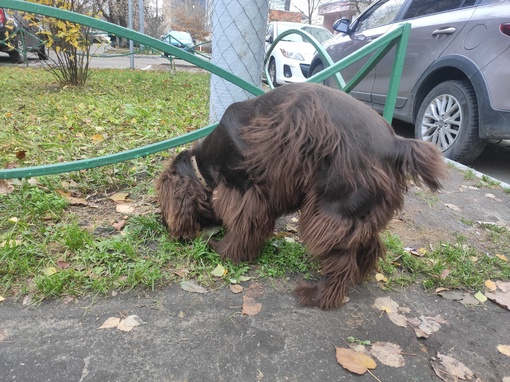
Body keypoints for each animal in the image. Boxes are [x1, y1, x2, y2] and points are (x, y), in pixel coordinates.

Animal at [155, 82, 446, 308]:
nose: (163, 223)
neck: (203, 164)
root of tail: (397, 144)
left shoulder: (246, 192)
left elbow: (242, 227)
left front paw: (225, 251)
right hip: (361, 213)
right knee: (369, 246)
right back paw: (357, 278)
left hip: (331, 210)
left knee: (342, 260)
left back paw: (320, 296)